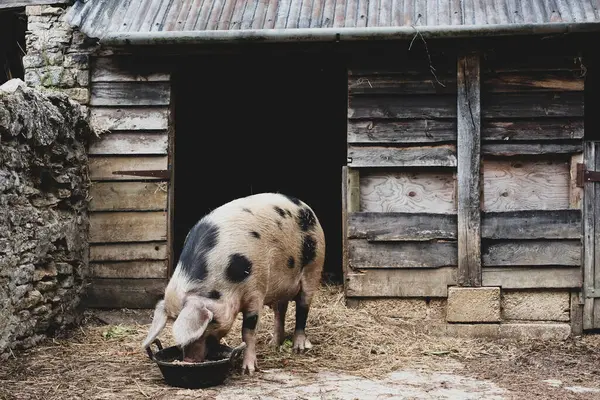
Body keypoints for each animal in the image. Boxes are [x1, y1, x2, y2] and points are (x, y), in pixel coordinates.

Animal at [141, 193, 326, 376]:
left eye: (209, 322)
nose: (188, 360)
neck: (226, 281)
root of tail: (305, 206)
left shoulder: (256, 290)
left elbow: (248, 332)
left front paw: (248, 371)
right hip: (282, 287)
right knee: (280, 311)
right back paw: (273, 344)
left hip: (314, 268)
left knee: (302, 310)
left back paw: (298, 348)